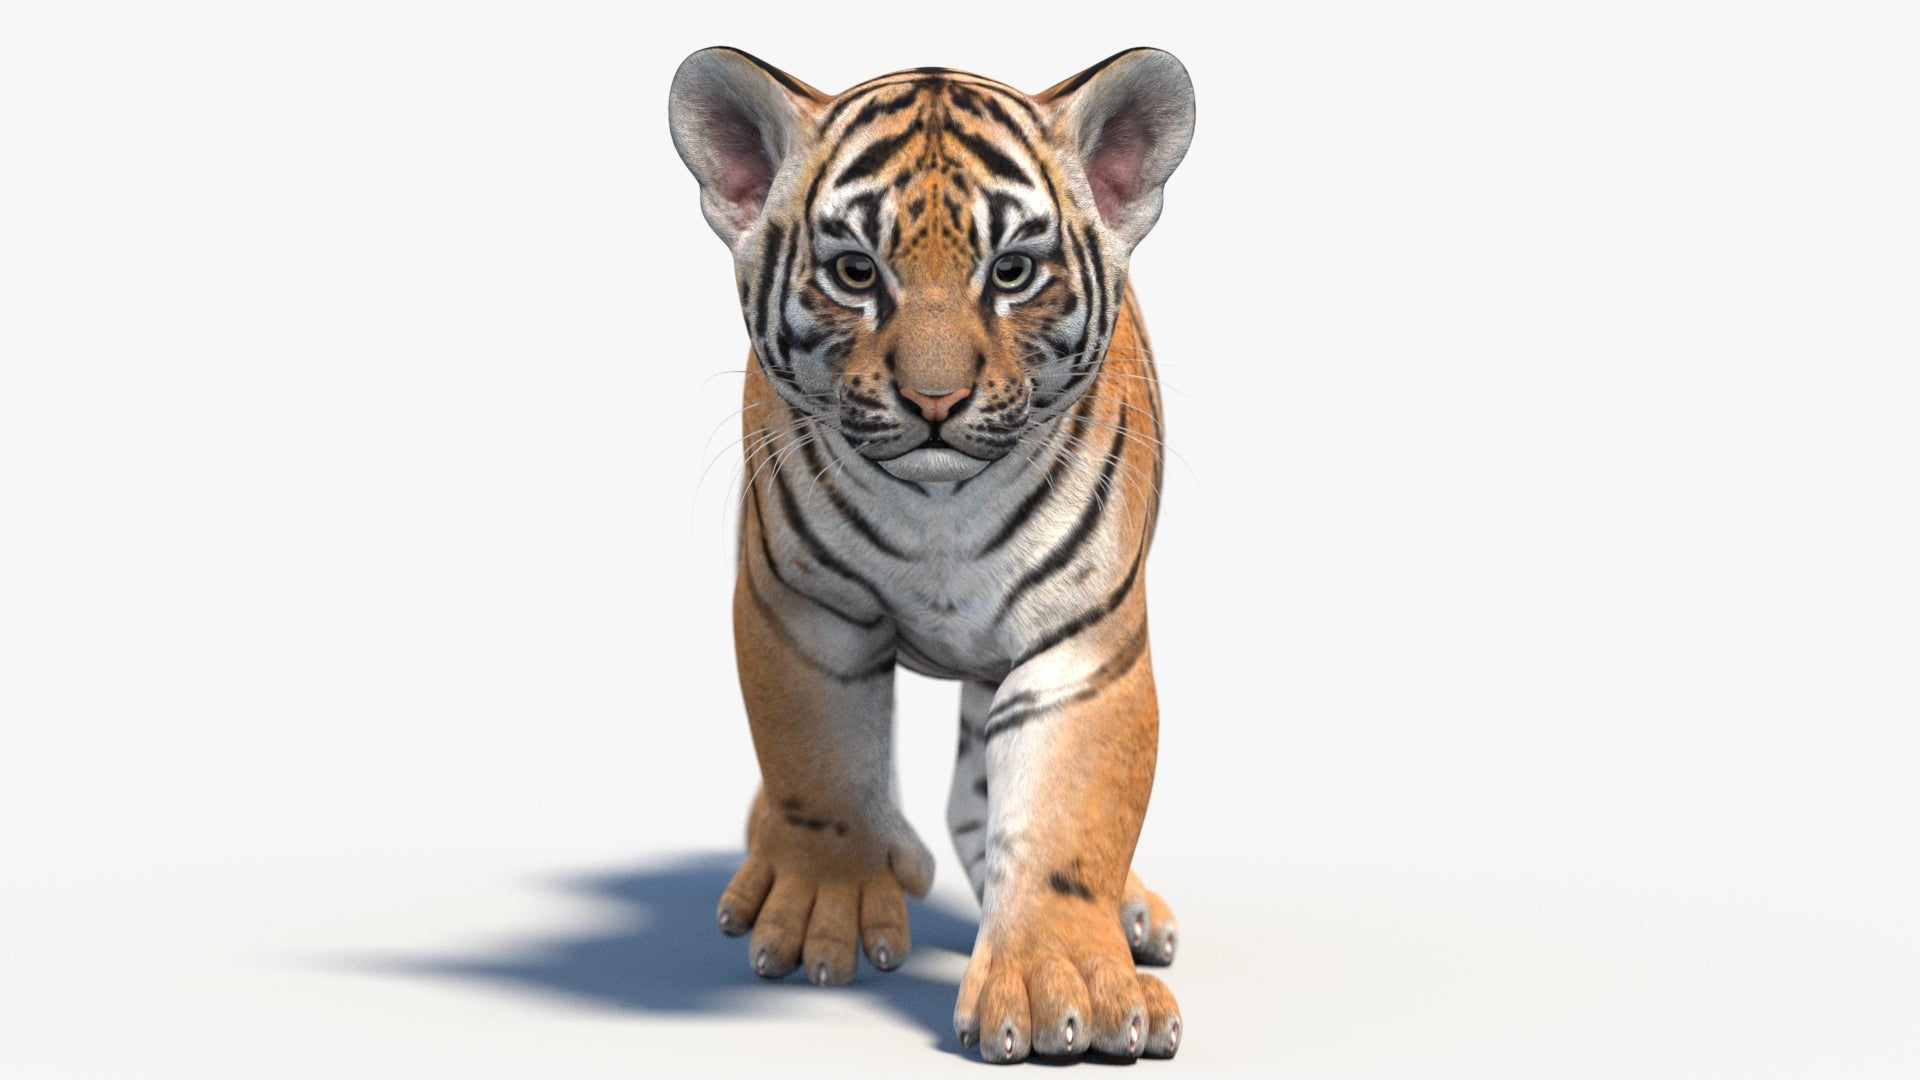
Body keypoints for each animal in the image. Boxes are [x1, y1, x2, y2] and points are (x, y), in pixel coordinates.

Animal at [668, 46, 1195, 1062]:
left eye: (1014, 271)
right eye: (854, 271)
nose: (935, 401)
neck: (941, 510)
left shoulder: (1082, 645)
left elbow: (1068, 817)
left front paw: (1065, 988)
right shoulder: (804, 613)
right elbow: (820, 762)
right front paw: (824, 907)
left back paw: (1131, 912)